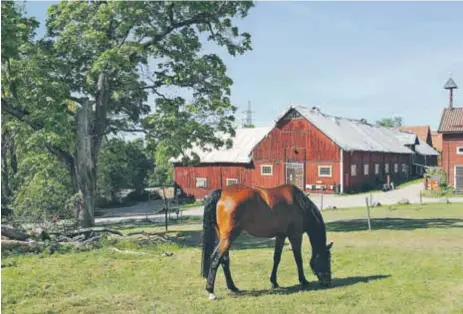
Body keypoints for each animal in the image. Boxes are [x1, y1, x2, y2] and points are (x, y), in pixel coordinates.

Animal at [199, 183, 334, 300]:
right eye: (327, 259)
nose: (327, 281)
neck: (299, 204)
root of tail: (221, 192)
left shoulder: (281, 236)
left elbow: (277, 258)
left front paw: (274, 282)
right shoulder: (295, 236)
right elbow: (298, 259)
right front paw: (303, 280)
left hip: (224, 238)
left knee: (224, 260)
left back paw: (232, 287)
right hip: (228, 238)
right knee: (216, 258)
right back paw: (211, 291)